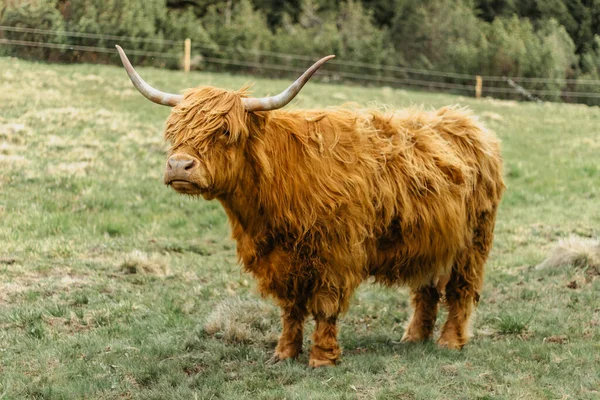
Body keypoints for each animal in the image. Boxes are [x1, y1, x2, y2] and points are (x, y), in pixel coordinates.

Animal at [117, 45, 506, 368]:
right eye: (174, 130)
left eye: (225, 132)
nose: (179, 166)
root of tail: (468, 122)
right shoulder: (280, 260)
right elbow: (291, 309)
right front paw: (284, 353)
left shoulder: (334, 255)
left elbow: (324, 307)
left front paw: (321, 358)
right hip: (431, 240)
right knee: (425, 289)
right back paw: (413, 337)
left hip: (473, 243)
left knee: (460, 290)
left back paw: (450, 342)